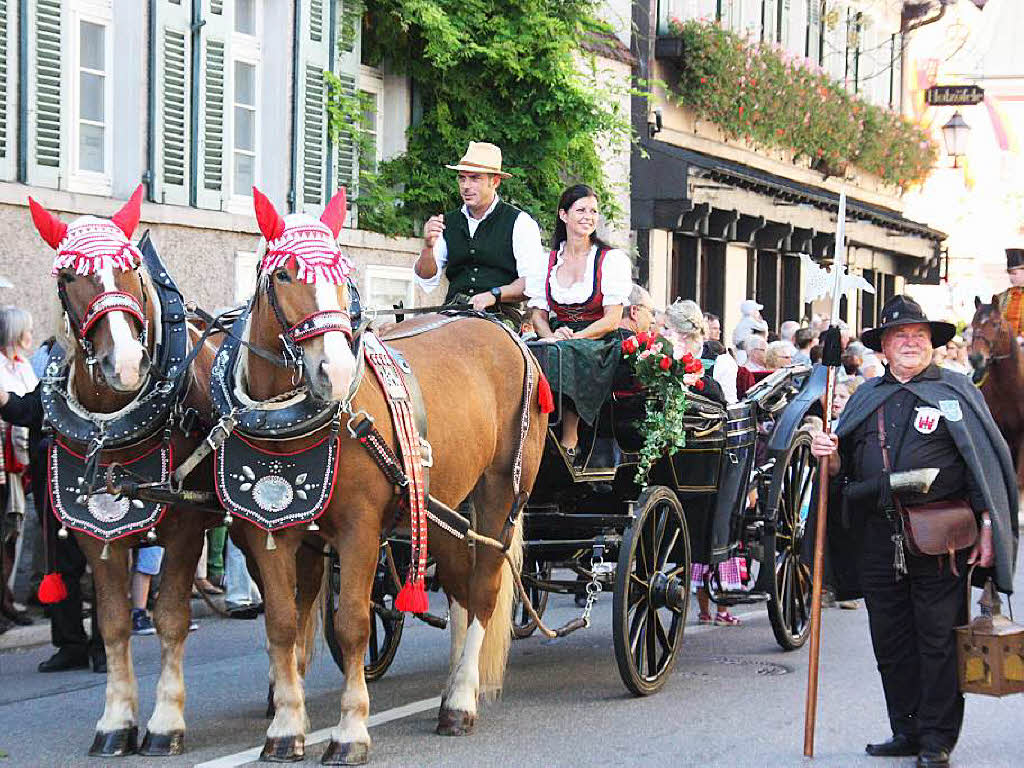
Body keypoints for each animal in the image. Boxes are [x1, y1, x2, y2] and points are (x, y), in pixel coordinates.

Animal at [28, 188, 220, 757]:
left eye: (132, 268)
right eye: (70, 276)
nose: (128, 363)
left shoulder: (184, 529)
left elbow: (171, 618)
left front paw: (164, 723)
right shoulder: (98, 535)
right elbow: (112, 624)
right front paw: (115, 722)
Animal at [220, 191, 548, 765]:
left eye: (343, 273)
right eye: (284, 273)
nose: (333, 372)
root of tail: (505, 333)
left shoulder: (359, 532)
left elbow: (352, 624)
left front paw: (351, 730)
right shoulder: (269, 532)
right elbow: (282, 624)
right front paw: (285, 728)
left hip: (500, 494)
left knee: (483, 590)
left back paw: (461, 700)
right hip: (442, 508)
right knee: (460, 588)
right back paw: (451, 684)